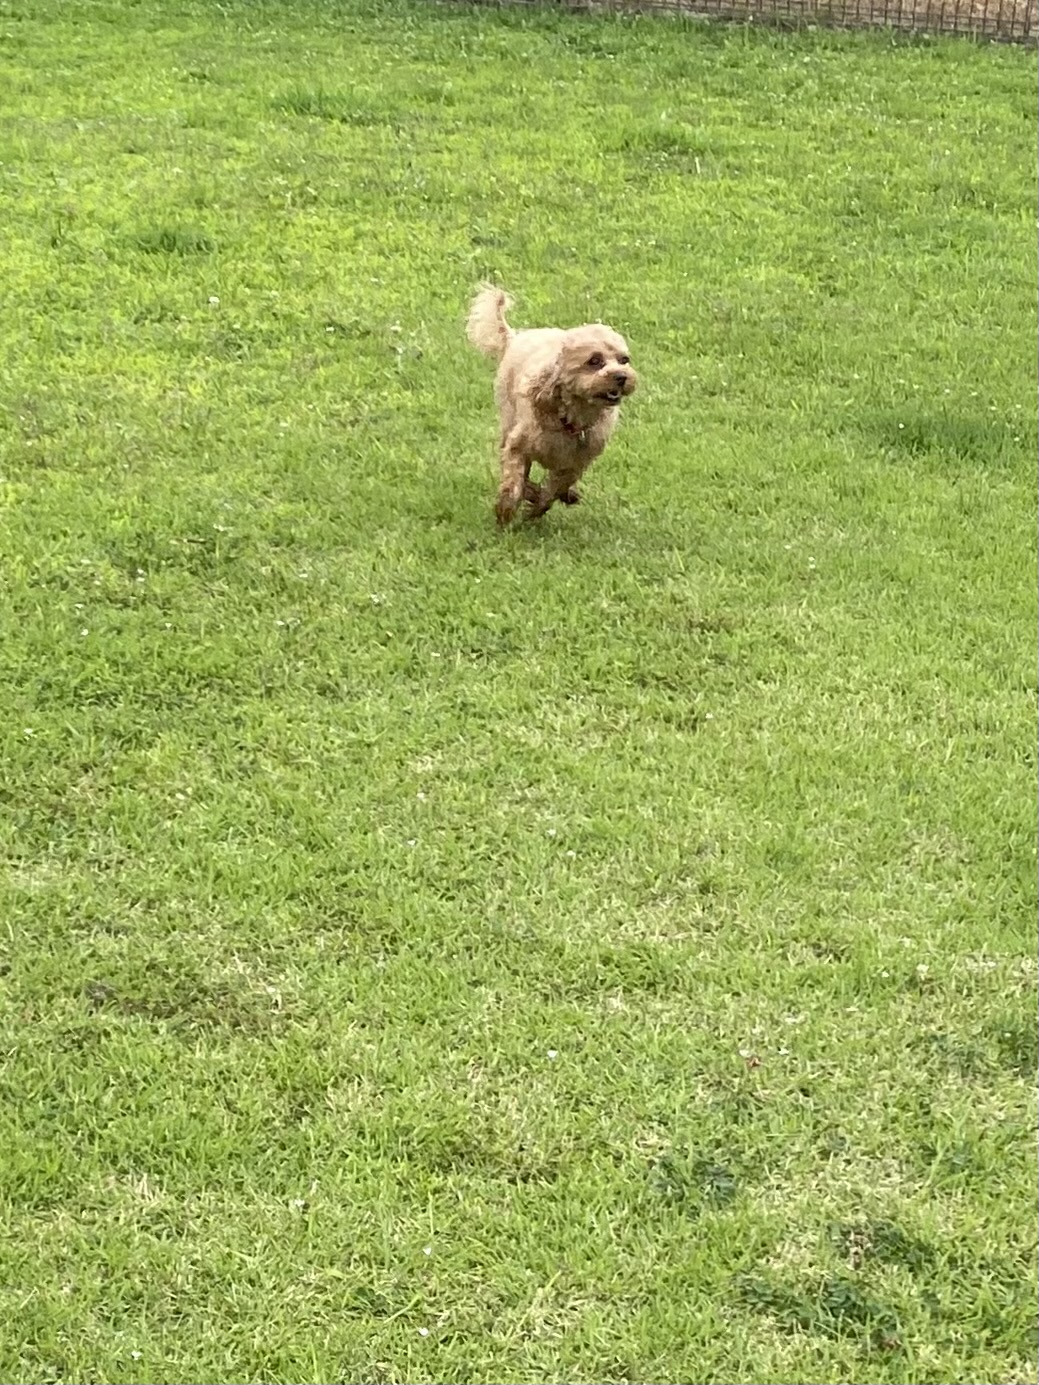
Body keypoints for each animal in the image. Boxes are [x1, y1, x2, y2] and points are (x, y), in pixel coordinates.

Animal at [466, 285, 637, 526]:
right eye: (594, 361)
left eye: (624, 360)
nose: (622, 376)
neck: (570, 422)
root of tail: (514, 336)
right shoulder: (518, 445)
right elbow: (514, 478)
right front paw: (507, 508)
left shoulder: (576, 463)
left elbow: (554, 489)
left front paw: (538, 507)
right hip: (508, 417)